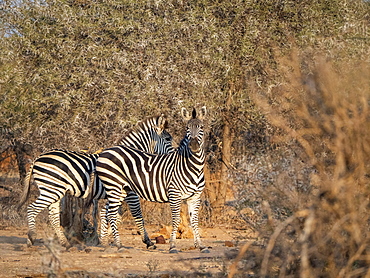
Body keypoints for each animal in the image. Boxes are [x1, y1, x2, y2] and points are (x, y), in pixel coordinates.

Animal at [19, 114, 176, 249]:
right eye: (168, 139)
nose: (176, 154)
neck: (132, 160)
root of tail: (37, 158)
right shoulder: (130, 193)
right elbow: (136, 214)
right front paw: (147, 241)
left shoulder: (116, 194)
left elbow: (108, 216)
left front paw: (104, 239)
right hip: (51, 190)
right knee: (32, 208)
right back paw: (31, 237)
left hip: (55, 191)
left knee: (53, 216)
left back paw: (65, 243)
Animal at [97, 107, 210, 254]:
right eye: (187, 128)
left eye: (201, 127)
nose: (194, 145)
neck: (192, 166)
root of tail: (106, 151)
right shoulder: (174, 194)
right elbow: (174, 220)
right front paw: (172, 246)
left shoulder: (195, 196)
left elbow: (194, 220)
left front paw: (201, 245)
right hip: (114, 187)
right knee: (111, 214)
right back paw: (118, 245)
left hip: (120, 190)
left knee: (107, 213)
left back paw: (105, 243)